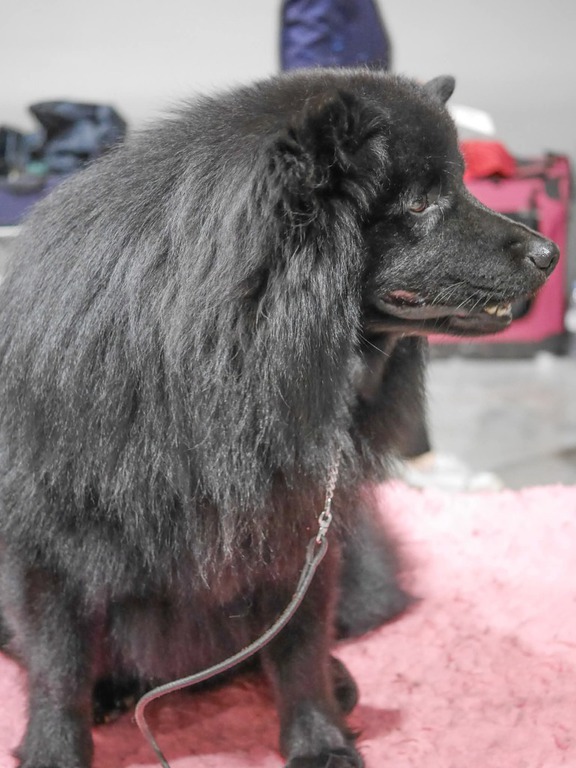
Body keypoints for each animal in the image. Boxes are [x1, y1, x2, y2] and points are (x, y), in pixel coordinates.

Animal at [0, 69, 558, 768]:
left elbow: (298, 651)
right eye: (422, 204)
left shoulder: (296, 526)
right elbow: (58, 666)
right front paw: (54, 748)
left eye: (459, 188)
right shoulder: (44, 545)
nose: (550, 251)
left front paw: (319, 738)